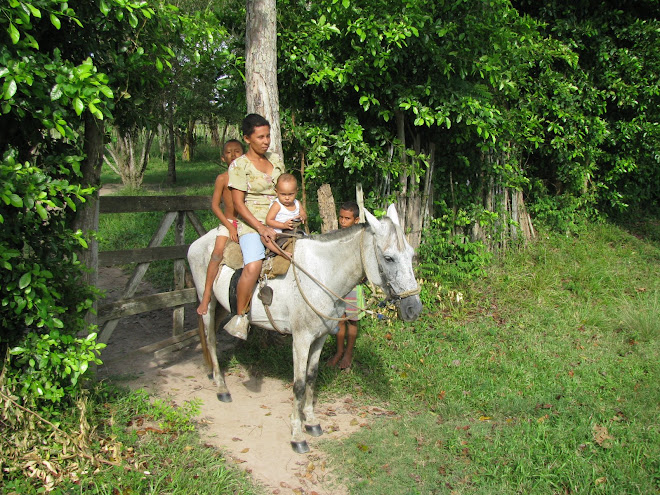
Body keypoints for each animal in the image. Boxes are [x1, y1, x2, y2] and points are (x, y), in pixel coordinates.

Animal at [187, 204, 422, 454]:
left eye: (411, 255)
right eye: (388, 258)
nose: (414, 308)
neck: (322, 274)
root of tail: (199, 242)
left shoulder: (319, 338)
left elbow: (311, 377)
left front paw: (311, 422)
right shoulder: (300, 340)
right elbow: (298, 385)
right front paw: (297, 435)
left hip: (223, 306)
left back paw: (214, 373)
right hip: (207, 302)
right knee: (210, 339)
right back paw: (222, 387)